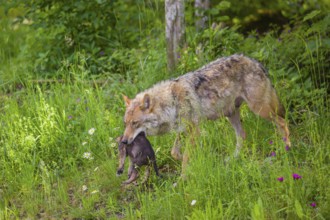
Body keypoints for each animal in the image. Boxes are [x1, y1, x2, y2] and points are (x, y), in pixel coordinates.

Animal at [122, 54, 290, 161]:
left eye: (135, 123)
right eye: (126, 123)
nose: (123, 141)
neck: (171, 102)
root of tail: (255, 61)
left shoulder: (194, 130)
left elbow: (186, 157)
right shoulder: (183, 130)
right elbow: (174, 152)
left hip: (260, 110)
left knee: (282, 122)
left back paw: (287, 148)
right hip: (231, 114)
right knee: (242, 135)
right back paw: (232, 159)